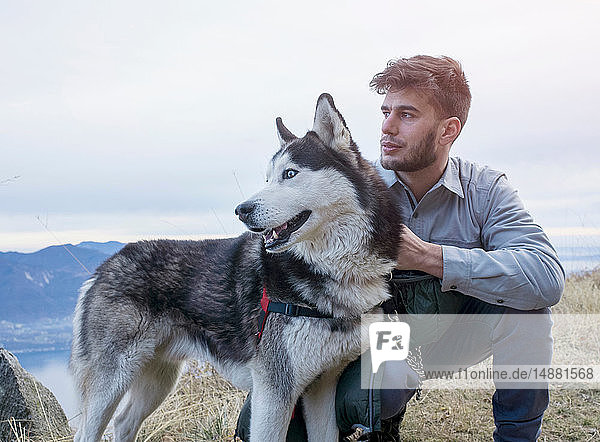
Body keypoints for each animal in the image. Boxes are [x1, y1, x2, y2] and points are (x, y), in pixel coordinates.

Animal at [70, 94, 400, 442]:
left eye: (290, 174)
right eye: (268, 178)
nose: (242, 209)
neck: (329, 269)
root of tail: (104, 266)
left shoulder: (323, 386)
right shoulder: (274, 392)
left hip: (158, 379)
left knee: (124, 422)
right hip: (113, 380)